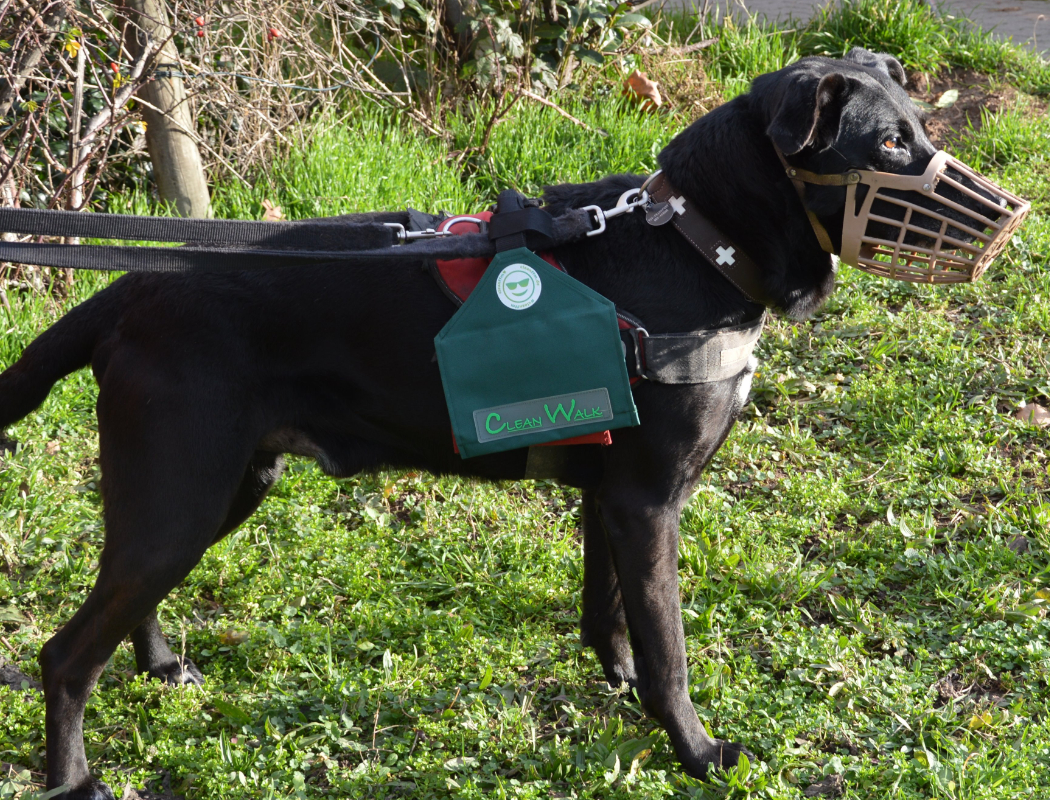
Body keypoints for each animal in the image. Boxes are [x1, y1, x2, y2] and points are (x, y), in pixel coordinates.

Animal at [2, 46, 965, 793]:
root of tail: (130, 289)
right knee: (66, 654)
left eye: (921, 130)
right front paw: (694, 751)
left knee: (127, 606)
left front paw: (615, 684)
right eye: (887, 144)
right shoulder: (648, 503)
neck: (695, 237)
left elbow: (608, 613)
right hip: (182, 498)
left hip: (216, 492)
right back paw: (74, 781)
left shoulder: (609, 498)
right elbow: (670, 651)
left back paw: (161, 665)